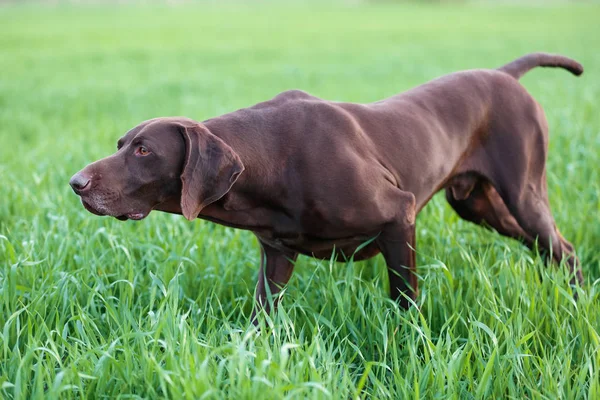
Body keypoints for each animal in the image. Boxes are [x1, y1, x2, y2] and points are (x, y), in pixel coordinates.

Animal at [69, 52, 580, 316]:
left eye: (143, 150)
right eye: (121, 143)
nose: (76, 183)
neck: (270, 162)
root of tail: (505, 74)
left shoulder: (399, 215)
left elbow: (405, 302)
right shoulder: (276, 256)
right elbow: (263, 320)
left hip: (523, 195)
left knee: (564, 248)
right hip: (482, 207)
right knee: (552, 248)